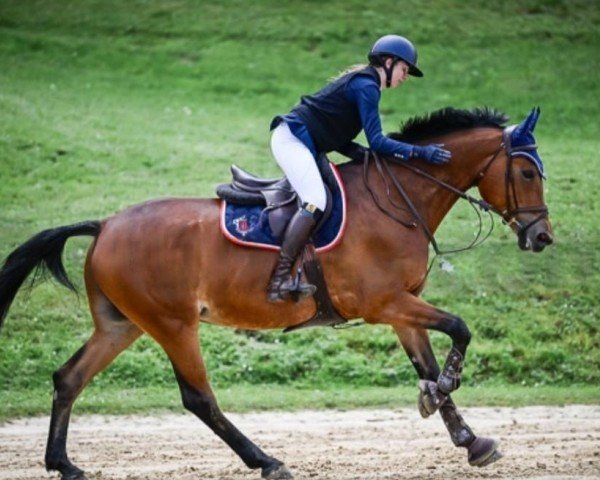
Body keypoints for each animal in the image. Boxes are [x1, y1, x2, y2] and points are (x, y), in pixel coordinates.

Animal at [0, 107, 552, 478]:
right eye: (527, 172)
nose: (542, 237)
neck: (397, 199)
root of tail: (105, 224)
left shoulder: (401, 309)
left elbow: (429, 364)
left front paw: (468, 438)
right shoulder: (384, 304)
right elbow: (460, 329)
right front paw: (446, 392)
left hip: (122, 325)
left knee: (69, 378)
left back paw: (63, 463)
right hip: (172, 323)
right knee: (198, 398)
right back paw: (265, 460)